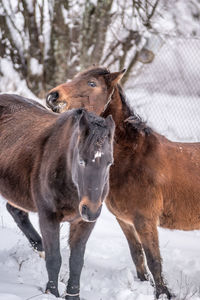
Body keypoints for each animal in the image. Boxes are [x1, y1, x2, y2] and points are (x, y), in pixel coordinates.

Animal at [0, 92, 115, 298]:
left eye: (109, 162)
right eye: (81, 161)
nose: (91, 210)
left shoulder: (84, 223)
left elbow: (76, 261)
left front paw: (72, 295)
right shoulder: (48, 216)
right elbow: (54, 259)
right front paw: (51, 293)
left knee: (16, 211)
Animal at [46, 67, 200, 298]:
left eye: (92, 83)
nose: (53, 96)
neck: (134, 157)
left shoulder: (145, 220)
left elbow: (154, 260)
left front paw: (163, 294)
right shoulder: (125, 221)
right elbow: (137, 255)